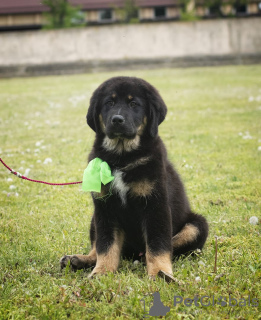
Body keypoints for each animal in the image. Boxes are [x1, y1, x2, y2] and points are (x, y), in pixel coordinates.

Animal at [60, 76, 208, 278]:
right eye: (109, 103)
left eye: (133, 104)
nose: (117, 119)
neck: (122, 158)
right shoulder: (105, 208)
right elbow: (105, 245)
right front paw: (101, 272)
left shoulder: (156, 206)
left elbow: (158, 245)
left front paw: (160, 272)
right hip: (94, 219)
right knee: (98, 248)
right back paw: (78, 260)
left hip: (197, 225)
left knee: (167, 245)